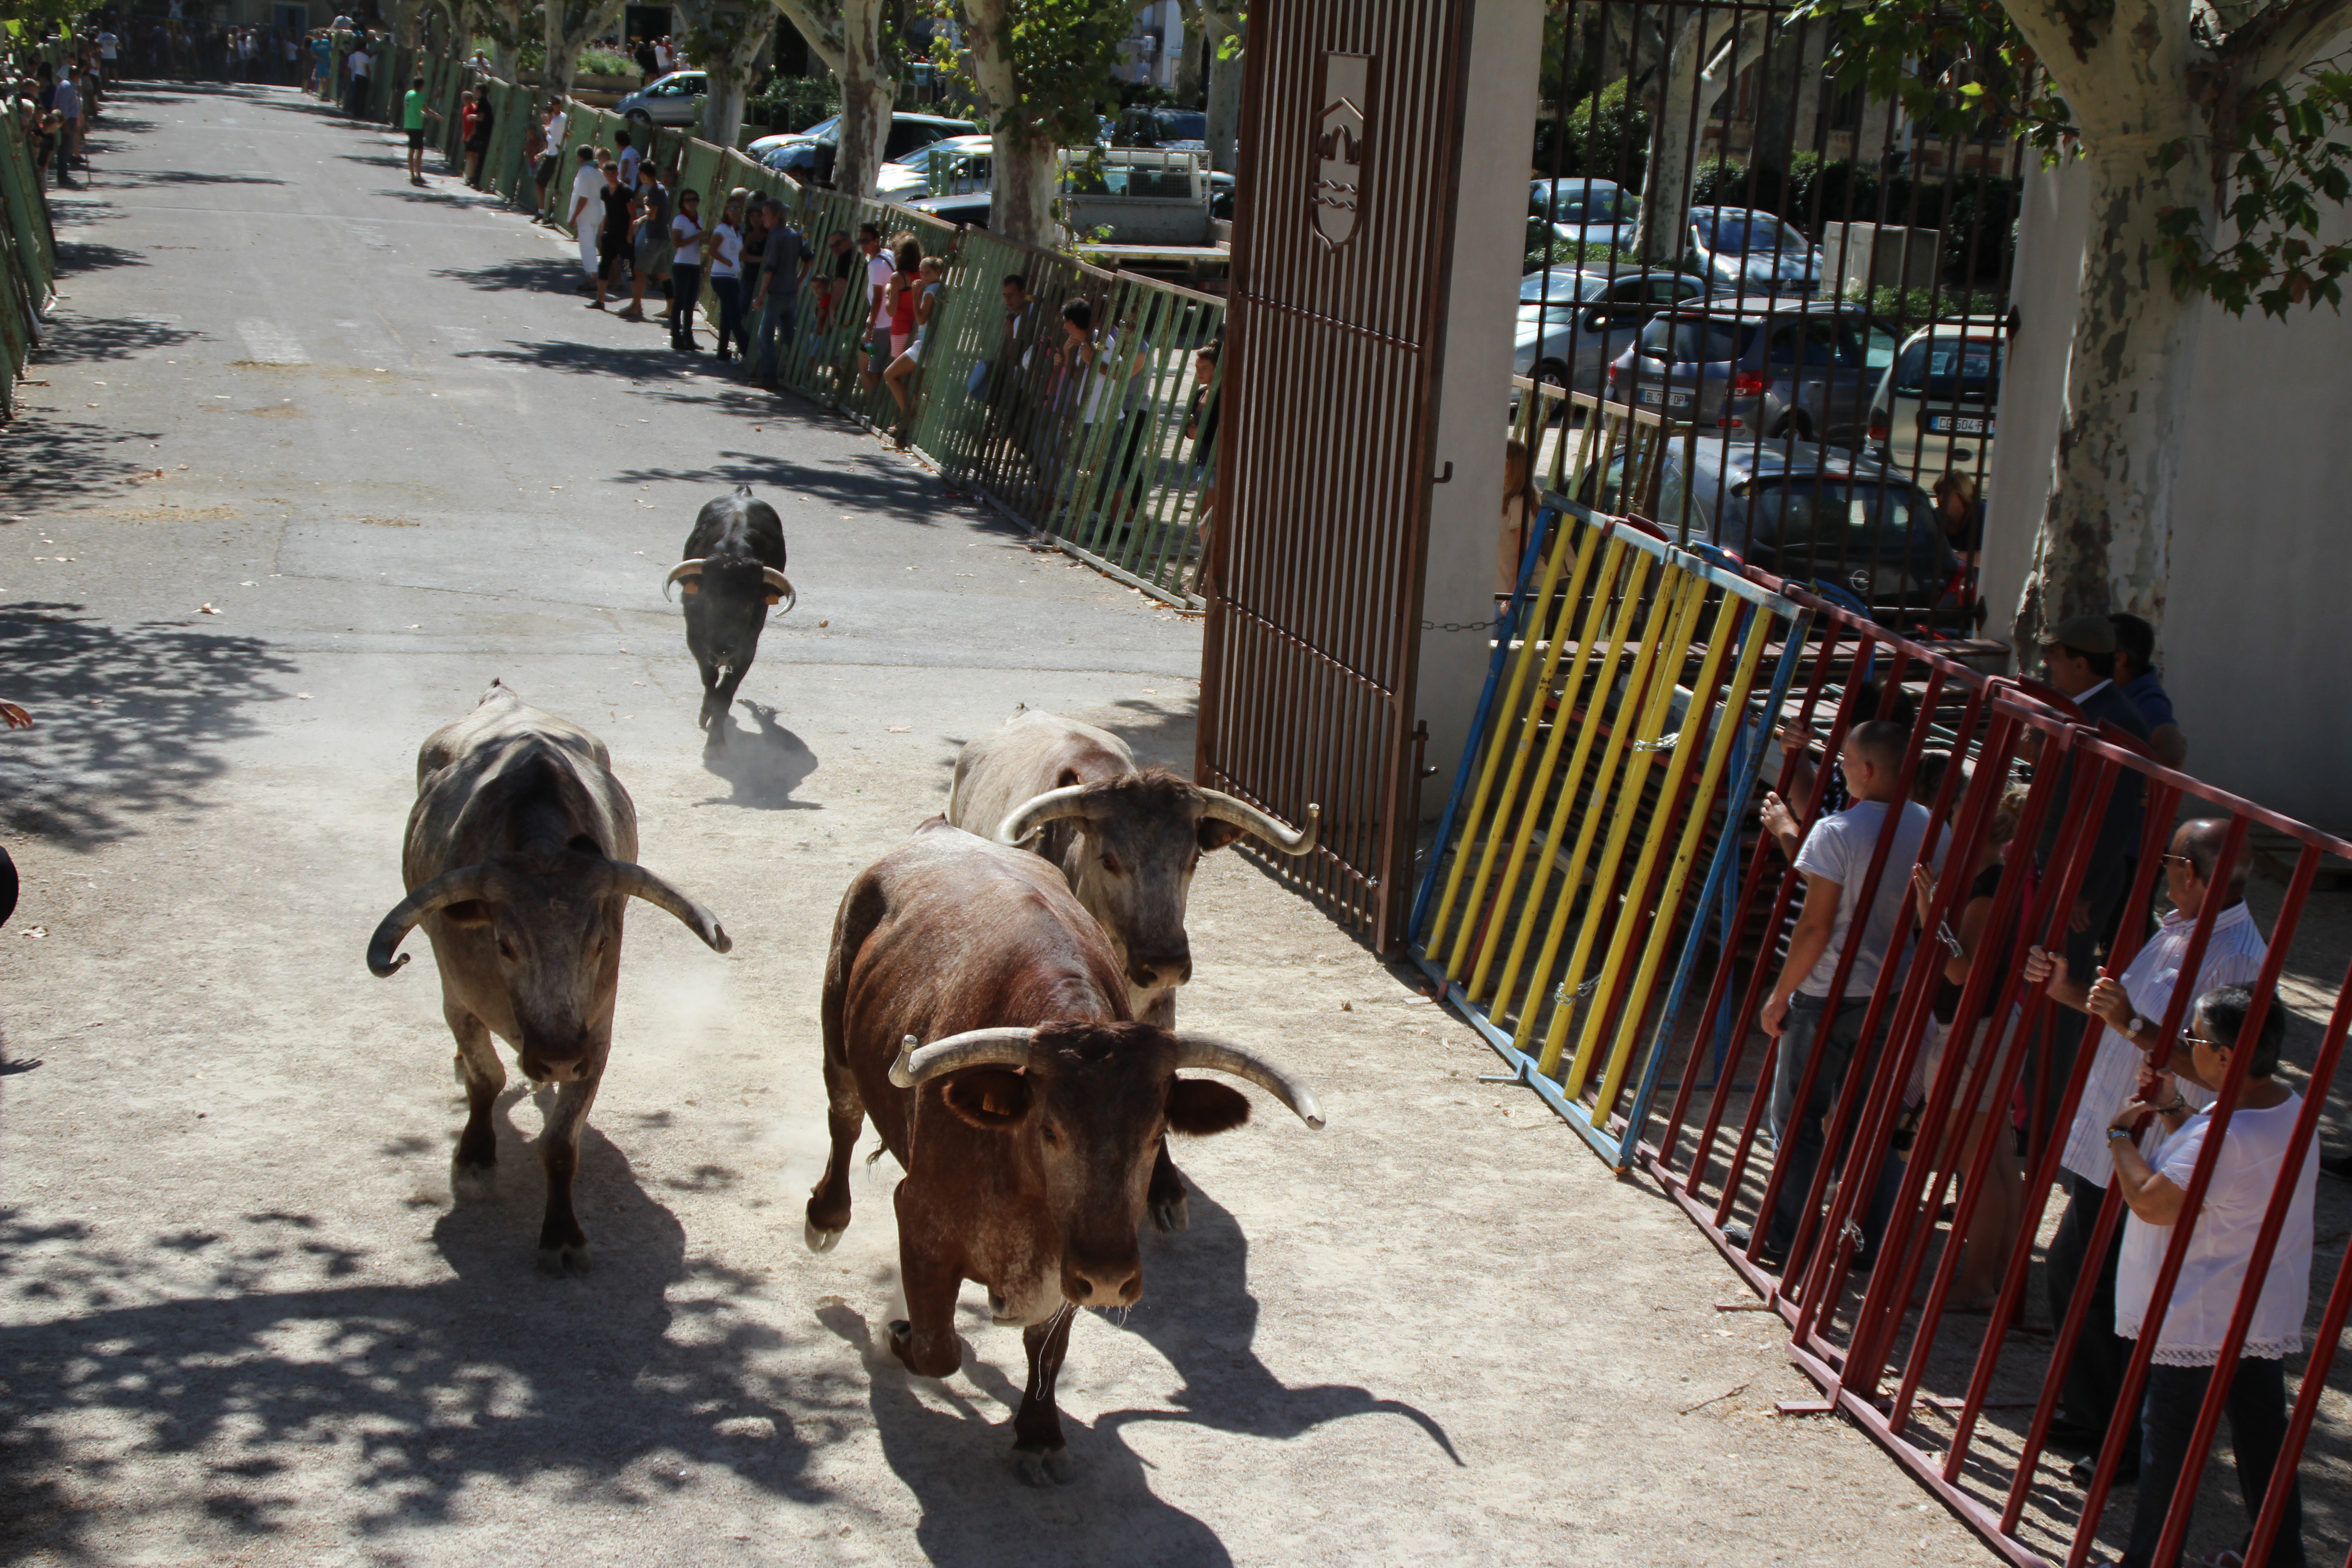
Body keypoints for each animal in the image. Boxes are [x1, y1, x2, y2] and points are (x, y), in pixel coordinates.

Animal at [362, 681, 729, 1269]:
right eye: (504, 945)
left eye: (599, 943)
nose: (556, 1057)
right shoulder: (458, 1000)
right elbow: (487, 1078)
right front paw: (475, 1158)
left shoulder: (596, 1035)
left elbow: (560, 1144)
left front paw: (561, 1231)